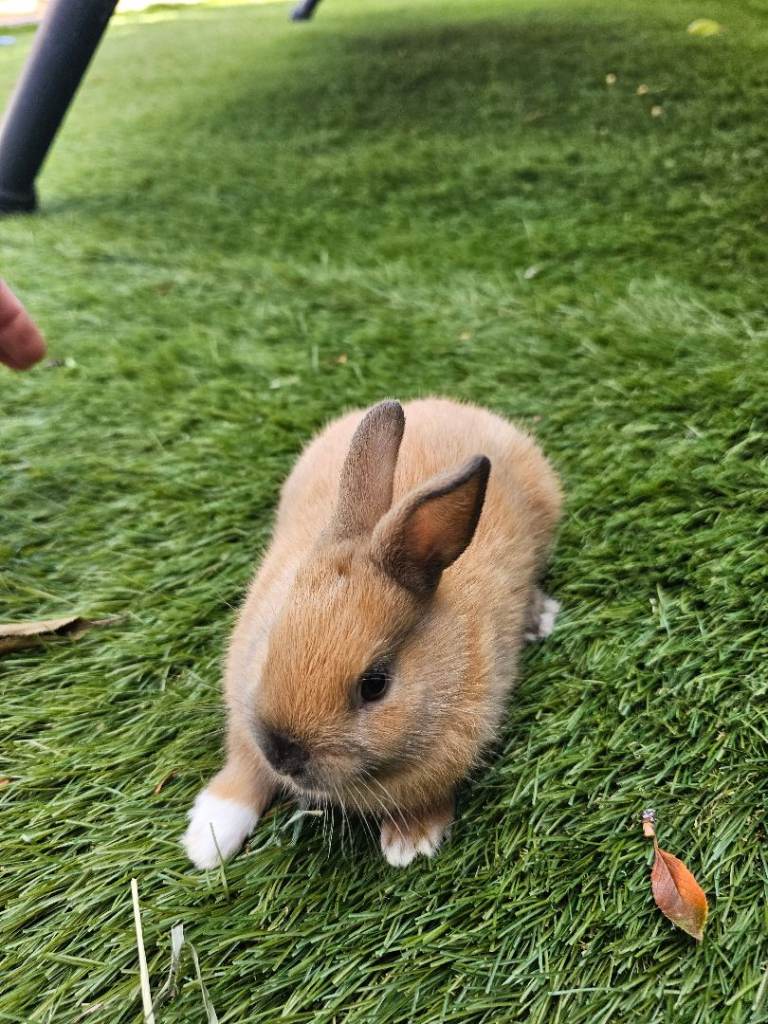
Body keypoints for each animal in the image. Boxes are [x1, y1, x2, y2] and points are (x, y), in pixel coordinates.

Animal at [182, 397, 562, 869]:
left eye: (375, 685)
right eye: (271, 642)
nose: (284, 754)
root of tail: (446, 404)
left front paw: (410, 843)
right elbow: (245, 767)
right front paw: (207, 838)